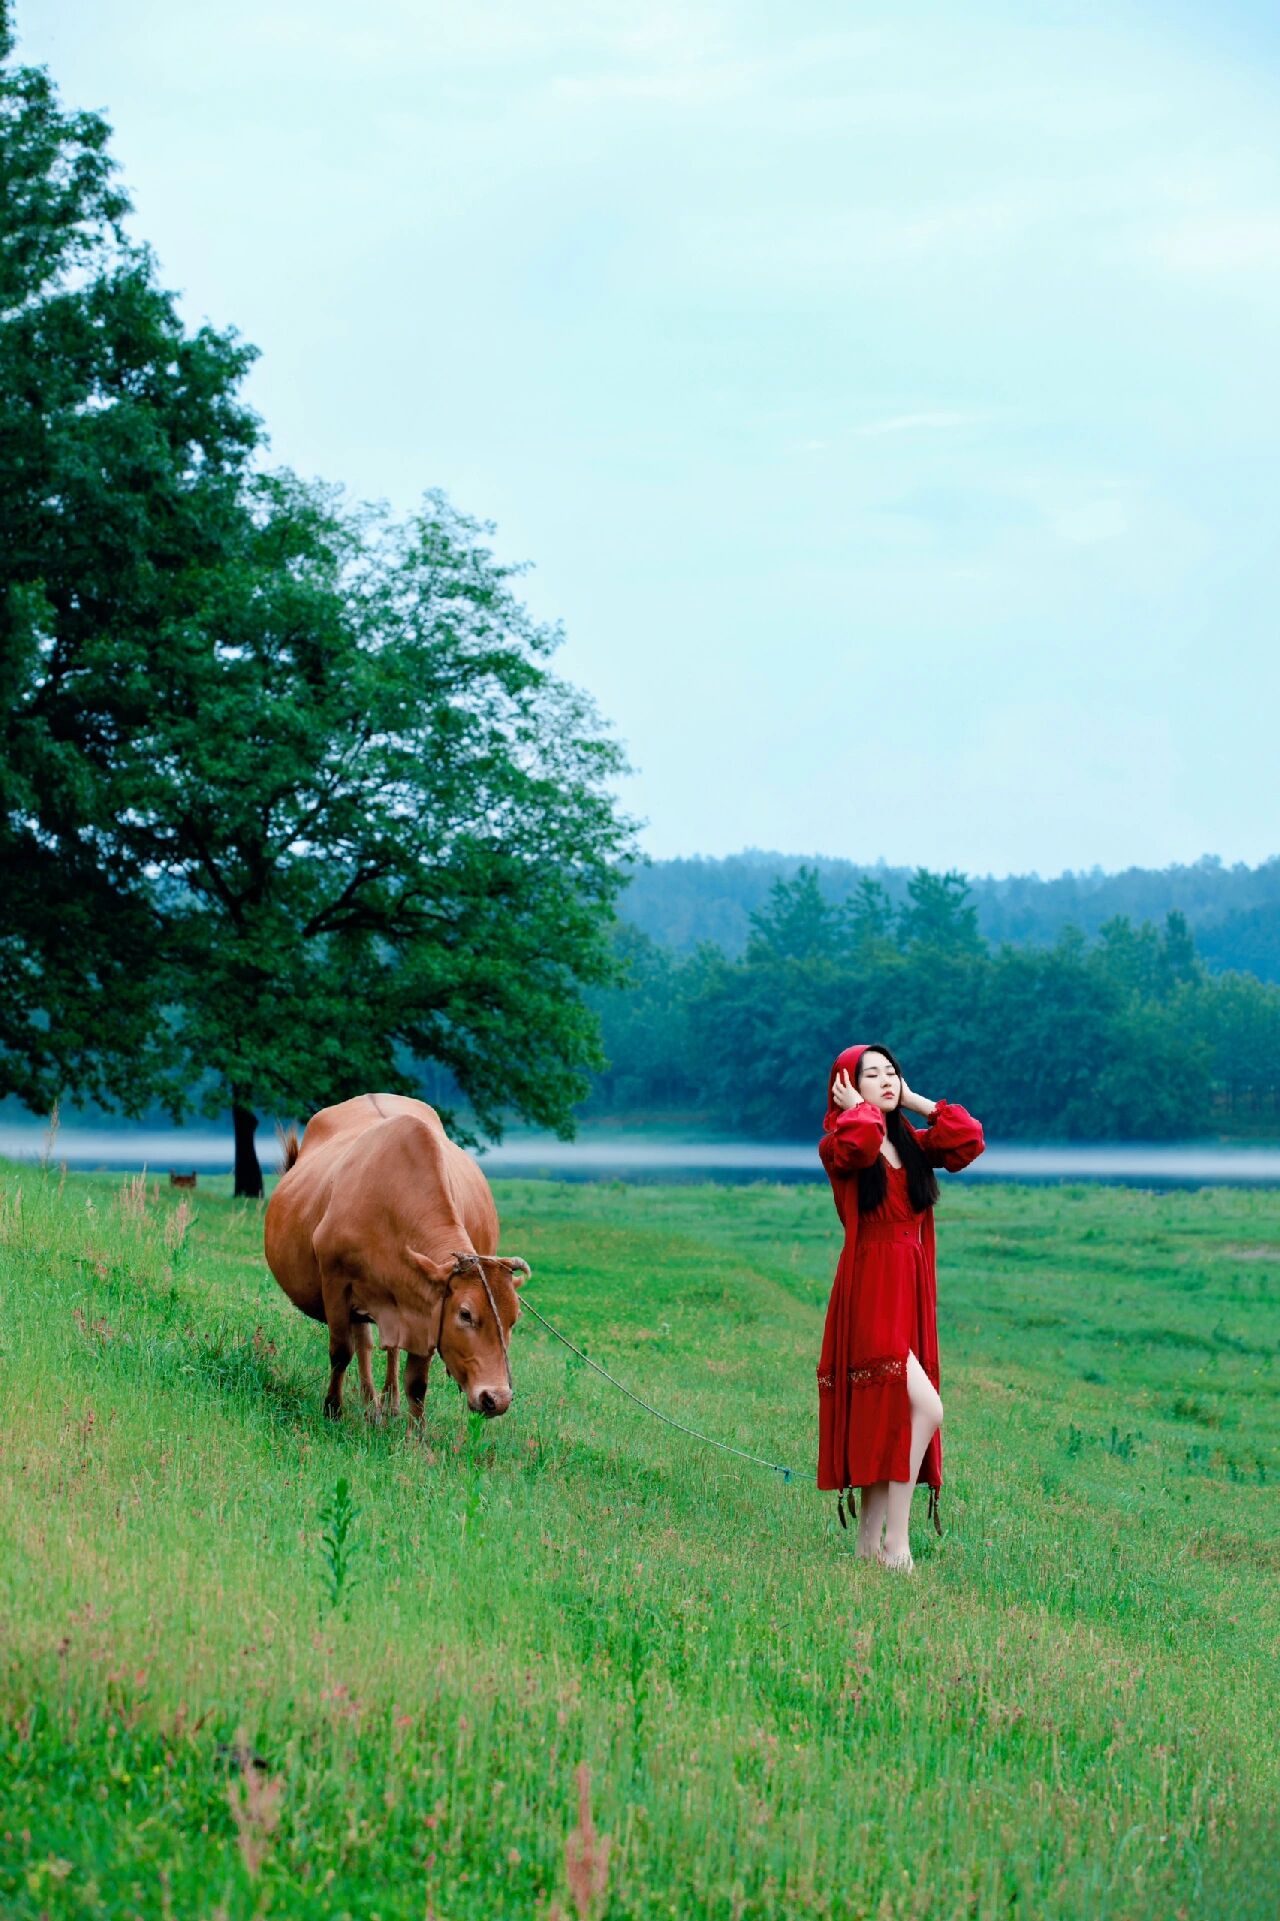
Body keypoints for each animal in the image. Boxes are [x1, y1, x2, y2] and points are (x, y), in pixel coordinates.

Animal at [263, 1098, 526, 1429]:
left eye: (513, 1319)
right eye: (465, 1314)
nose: (497, 1399)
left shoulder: (427, 1306)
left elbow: (417, 1380)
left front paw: (417, 1434)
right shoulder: (336, 1283)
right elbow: (341, 1352)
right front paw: (333, 1410)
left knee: (388, 1350)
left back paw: (388, 1404)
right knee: (363, 1345)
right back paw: (370, 1405)